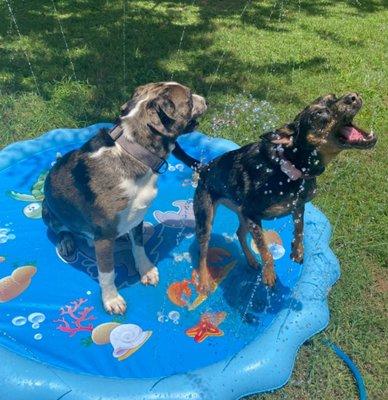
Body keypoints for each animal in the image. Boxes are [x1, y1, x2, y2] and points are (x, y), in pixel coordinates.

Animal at [42, 82, 208, 312]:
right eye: (190, 98)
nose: (207, 100)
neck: (134, 152)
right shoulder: (104, 236)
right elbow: (107, 273)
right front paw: (111, 299)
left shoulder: (137, 218)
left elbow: (138, 247)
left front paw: (145, 270)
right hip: (49, 212)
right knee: (60, 230)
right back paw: (65, 242)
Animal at [193, 94, 376, 294]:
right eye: (318, 114)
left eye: (332, 96)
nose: (353, 96)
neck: (290, 167)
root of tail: (203, 168)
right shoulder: (251, 212)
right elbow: (265, 248)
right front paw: (269, 273)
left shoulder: (297, 205)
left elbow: (300, 228)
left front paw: (297, 251)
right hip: (206, 216)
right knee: (203, 251)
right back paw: (204, 280)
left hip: (242, 214)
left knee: (240, 233)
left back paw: (251, 260)